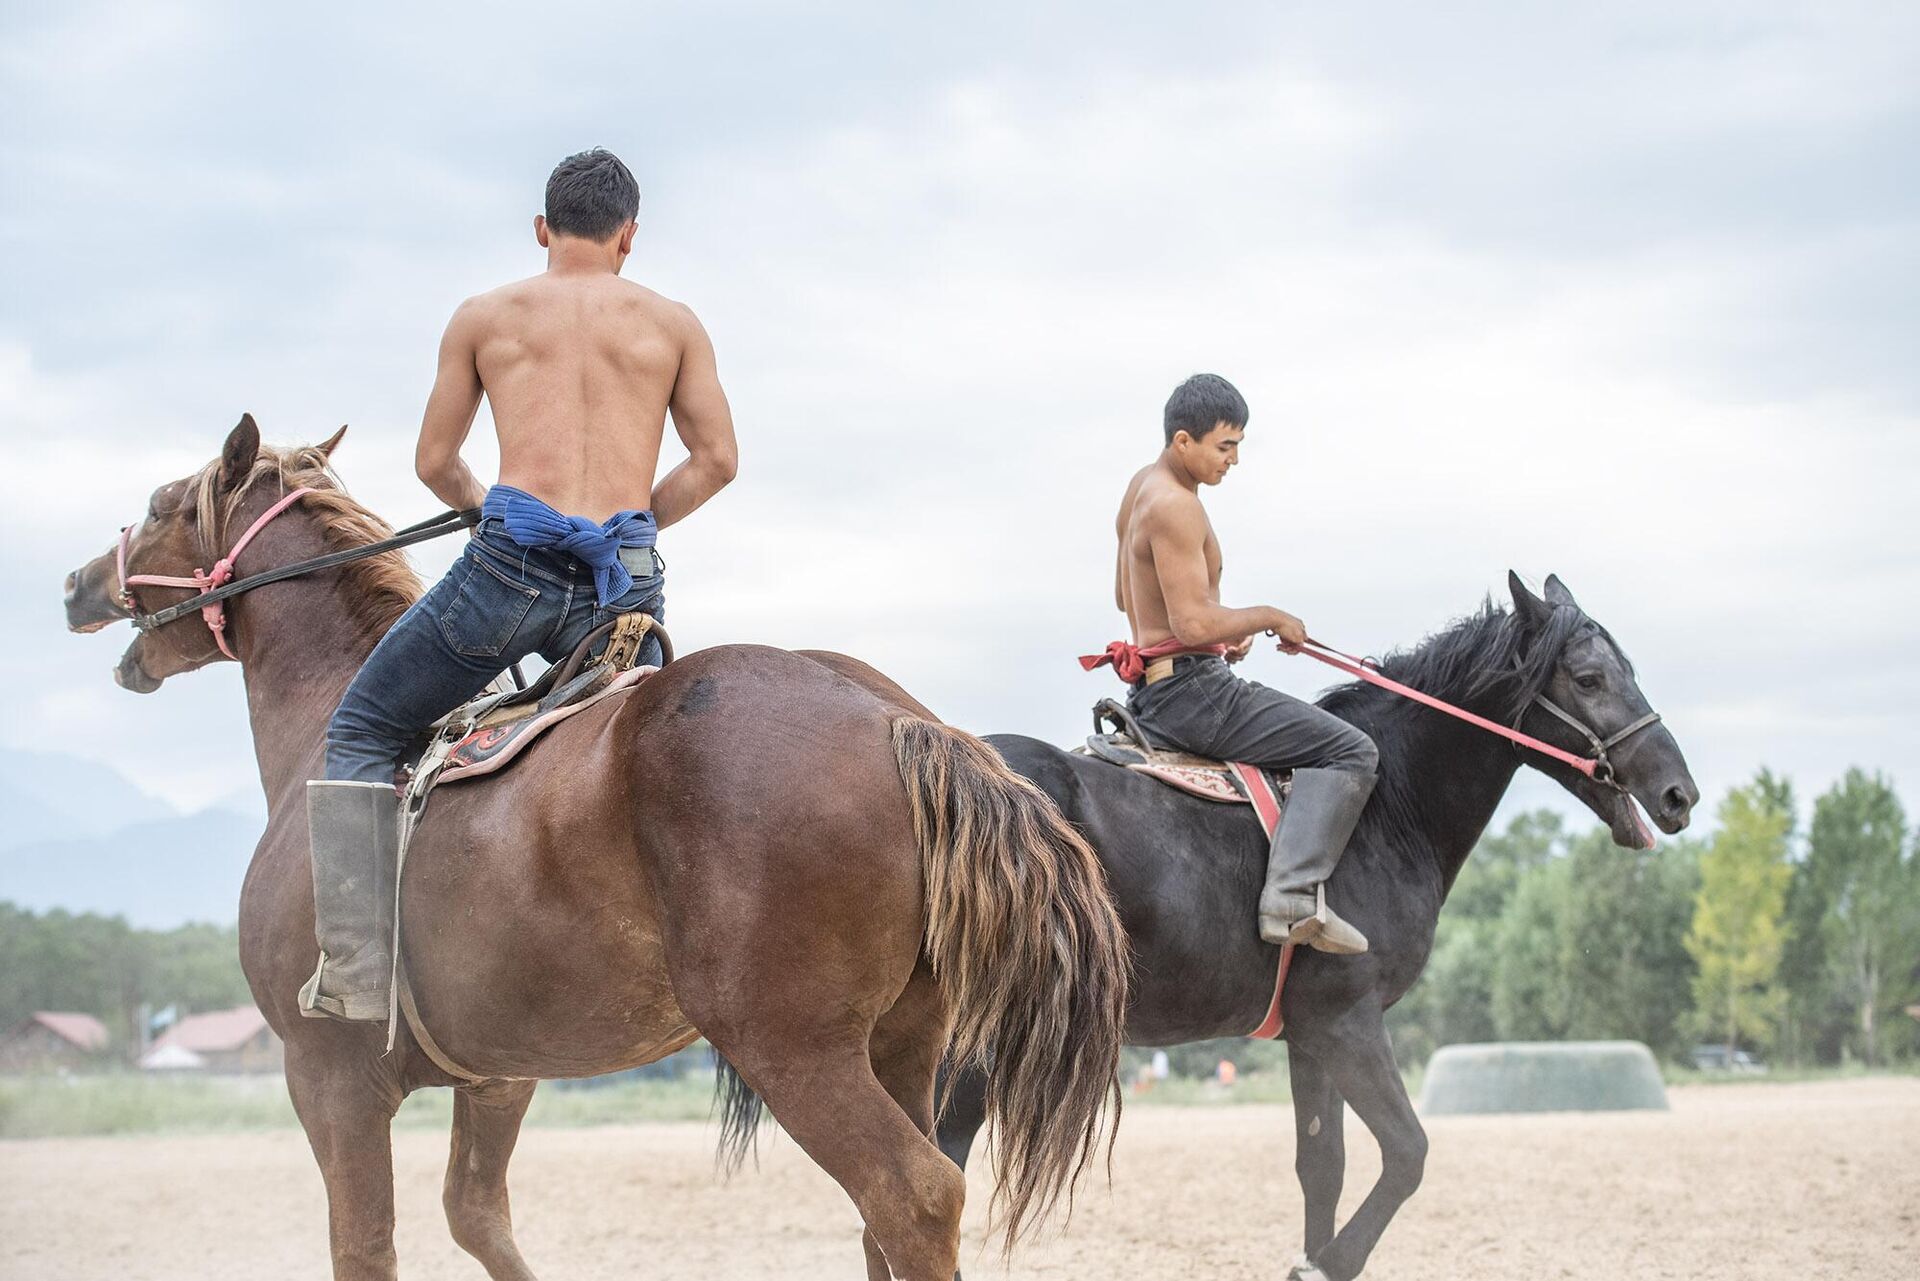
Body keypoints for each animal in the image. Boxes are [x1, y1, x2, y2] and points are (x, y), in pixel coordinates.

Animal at [67, 412, 1128, 1281]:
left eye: (161, 504)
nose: (79, 582)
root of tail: (893, 718)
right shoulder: (498, 1073)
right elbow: (478, 1218)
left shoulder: (329, 1077)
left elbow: (365, 1246)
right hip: (903, 1042)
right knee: (895, 1213)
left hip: (797, 1050)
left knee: (911, 1196)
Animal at [929, 580, 1697, 1281]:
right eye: (1589, 677)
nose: (1678, 793)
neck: (1387, 807)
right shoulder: (1346, 1018)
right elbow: (1408, 1151)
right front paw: (1327, 1263)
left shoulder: (1307, 1032)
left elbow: (1322, 1163)